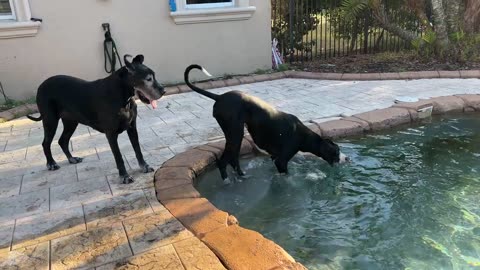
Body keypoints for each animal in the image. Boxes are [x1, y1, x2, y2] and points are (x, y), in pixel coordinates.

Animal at [27, 54, 165, 186]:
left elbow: (138, 149)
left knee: (63, 140)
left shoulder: (132, 127)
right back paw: (51, 163)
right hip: (50, 120)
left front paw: (144, 166)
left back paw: (72, 159)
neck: (122, 97)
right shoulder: (111, 133)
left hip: (71, 122)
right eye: (148, 79)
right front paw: (124, 176)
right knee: (46, 143)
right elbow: (119, 157)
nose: (163, 90)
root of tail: (41, 85)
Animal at [185, 64, 348, 185]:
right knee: (223, 161)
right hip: (235, 134)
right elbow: (287, 176)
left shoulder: (274, 157)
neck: (302, 135)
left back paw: (242, 176)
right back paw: (227, 182)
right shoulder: (281, 161)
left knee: (233, 159)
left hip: (235, 136)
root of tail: (219, 97)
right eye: (336, 152)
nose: (347, 159)